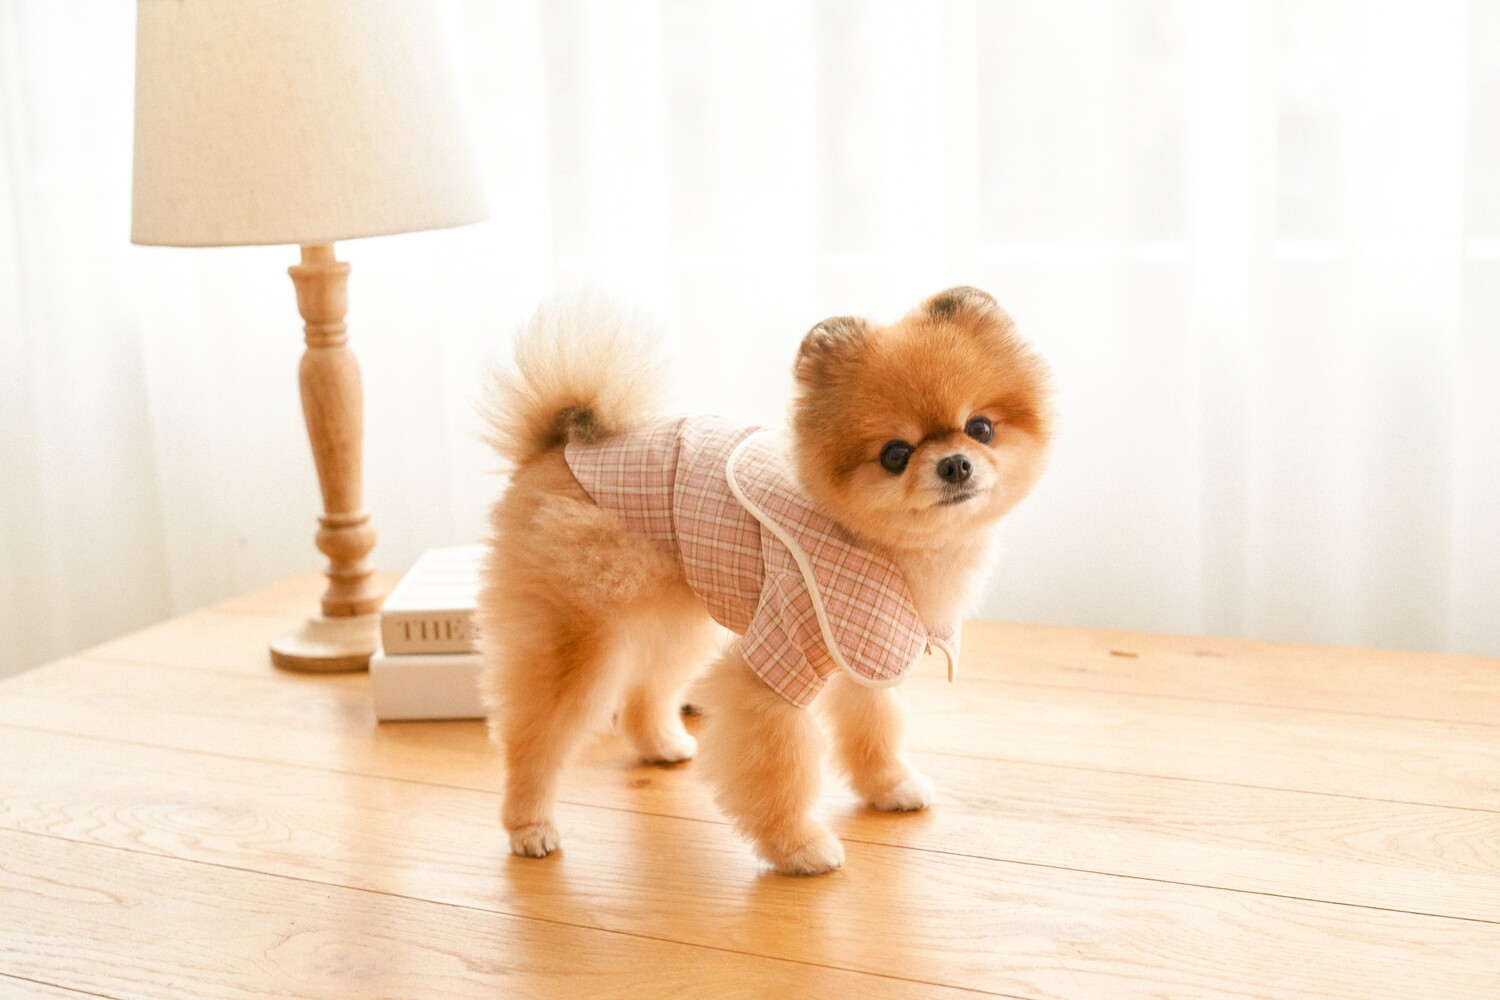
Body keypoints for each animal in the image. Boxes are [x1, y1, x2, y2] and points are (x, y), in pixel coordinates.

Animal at [477, 287, 1051, 874]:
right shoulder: (776, 664)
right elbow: (778, 766)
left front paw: (890, 786)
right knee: (535, 734)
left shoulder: (867, 648)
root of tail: (557, 446)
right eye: (896, 455)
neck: (881, 544)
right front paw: (798, 847)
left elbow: (873, 726)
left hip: (678, 610)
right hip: (580, 631)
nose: (955, 464)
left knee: (647, 685)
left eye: (980, 428)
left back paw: (660, 743)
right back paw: (530, 825)